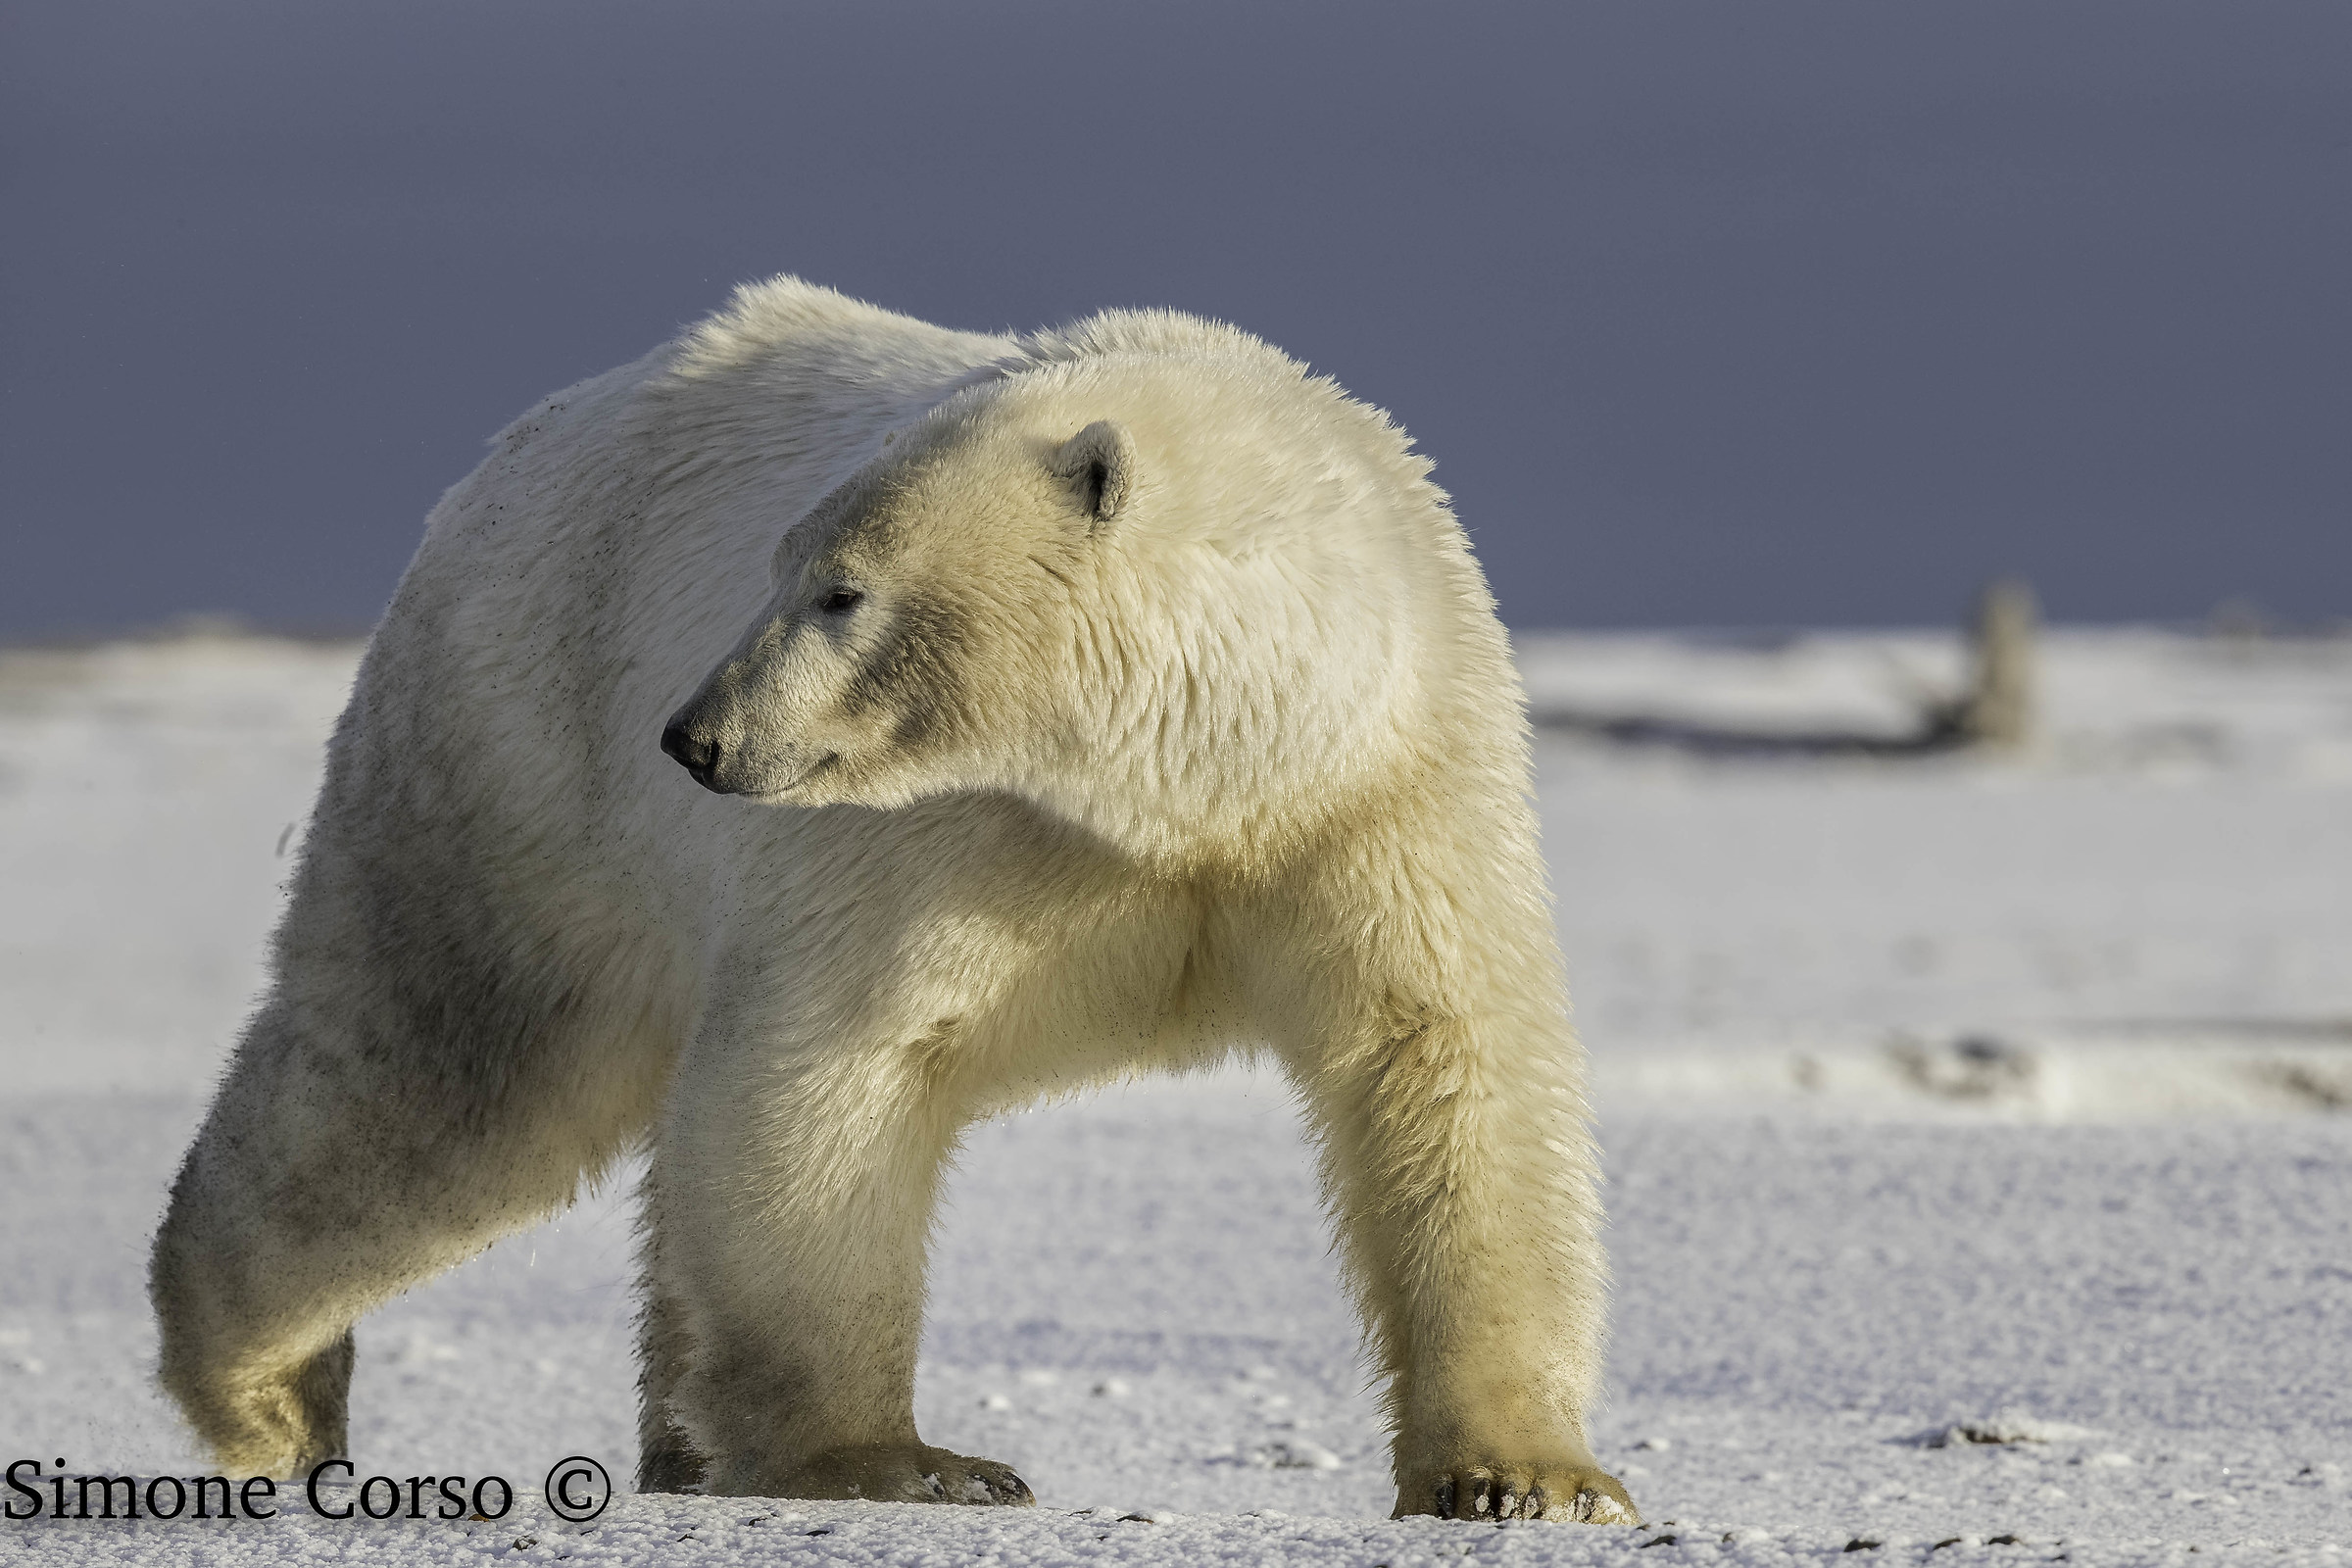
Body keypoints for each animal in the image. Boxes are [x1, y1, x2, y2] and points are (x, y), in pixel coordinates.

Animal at [148, 276, 1635, 1524]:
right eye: (780, 571)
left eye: (841, 592)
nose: (696, 737)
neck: (1191, 784)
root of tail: (499, 462)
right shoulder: (940, 837)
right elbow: (830, 1075)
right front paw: (901, 1462)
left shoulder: (1381, 795)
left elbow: (1440, 1067)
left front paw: (1528, 1479)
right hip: (525, 752)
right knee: (451, 1076)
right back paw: (270, 1400)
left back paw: (673, 1444)